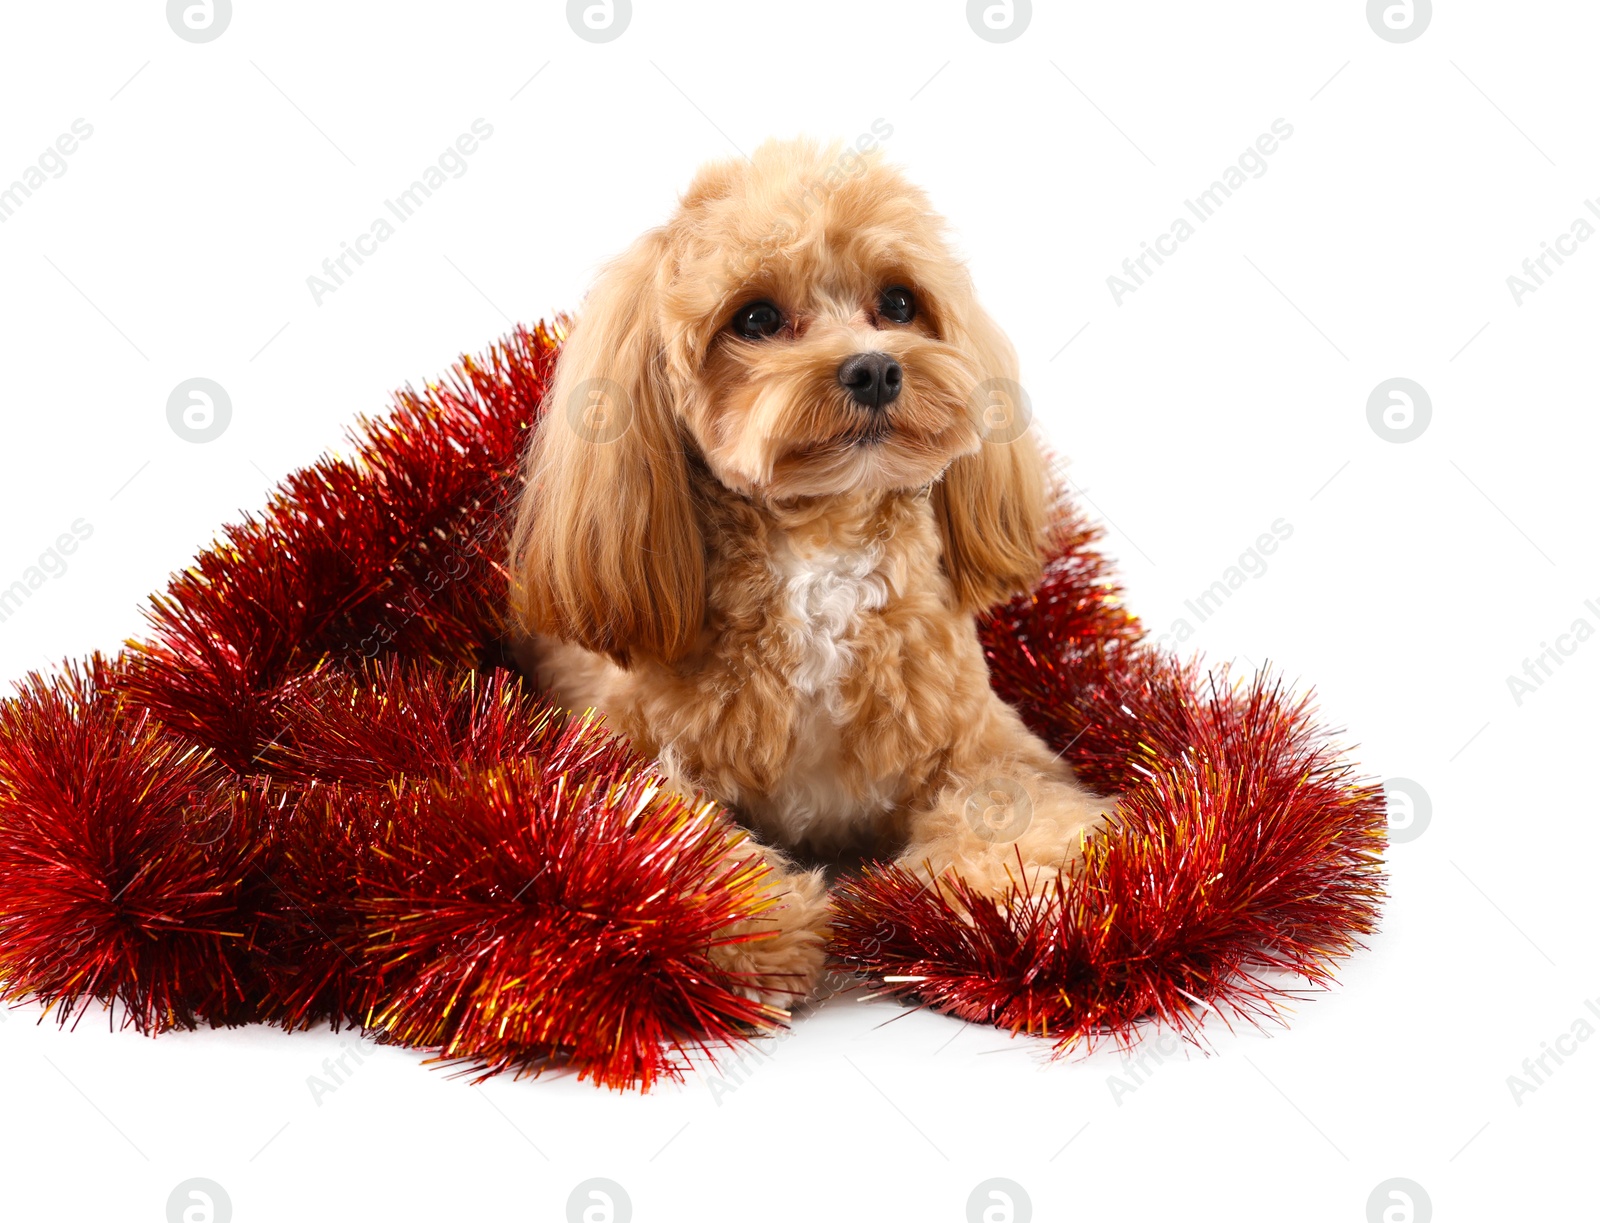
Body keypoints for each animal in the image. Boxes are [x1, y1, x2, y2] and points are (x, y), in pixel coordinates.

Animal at [512, 138, 1113, 1005]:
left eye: (898, 302)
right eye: (756, 318)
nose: (874, 370)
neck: (822, 551)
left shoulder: (988, 743)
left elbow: (1019, 811)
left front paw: (1002, 896)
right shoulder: (621, 753)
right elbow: (661, 832)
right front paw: (757, 920)